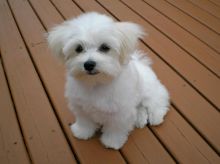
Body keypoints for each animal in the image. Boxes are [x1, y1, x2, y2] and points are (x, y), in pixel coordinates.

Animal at [47, 12, 169, 149]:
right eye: (78, 48)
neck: (96, 83)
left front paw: (112, 142)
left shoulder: (120, 113)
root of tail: (141, 62)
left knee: (157, 102)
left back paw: (156, 117)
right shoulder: (80, 106)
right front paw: (82, 132)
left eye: (105, 47)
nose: (89, 64)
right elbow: (84, 121)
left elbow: (115, 128)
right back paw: (139, 118)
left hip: (149, 91)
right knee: (139, 107)